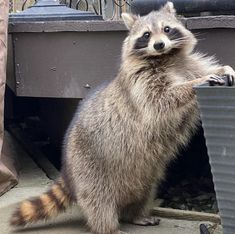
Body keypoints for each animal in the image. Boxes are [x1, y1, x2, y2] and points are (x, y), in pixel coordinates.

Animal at [10, 1, 235, 234]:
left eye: (166, 29)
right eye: (146, 35)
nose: (159, 45)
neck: (166, 57)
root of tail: (67, 169)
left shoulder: (188, 64)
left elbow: (201, 69)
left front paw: (224, 68)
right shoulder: (141, 83)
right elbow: (161, 99)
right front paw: (194, 84)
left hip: (145, 176)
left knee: (144, 192)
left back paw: (136, 215)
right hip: (89, 168)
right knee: (98, 201)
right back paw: (108, 226)